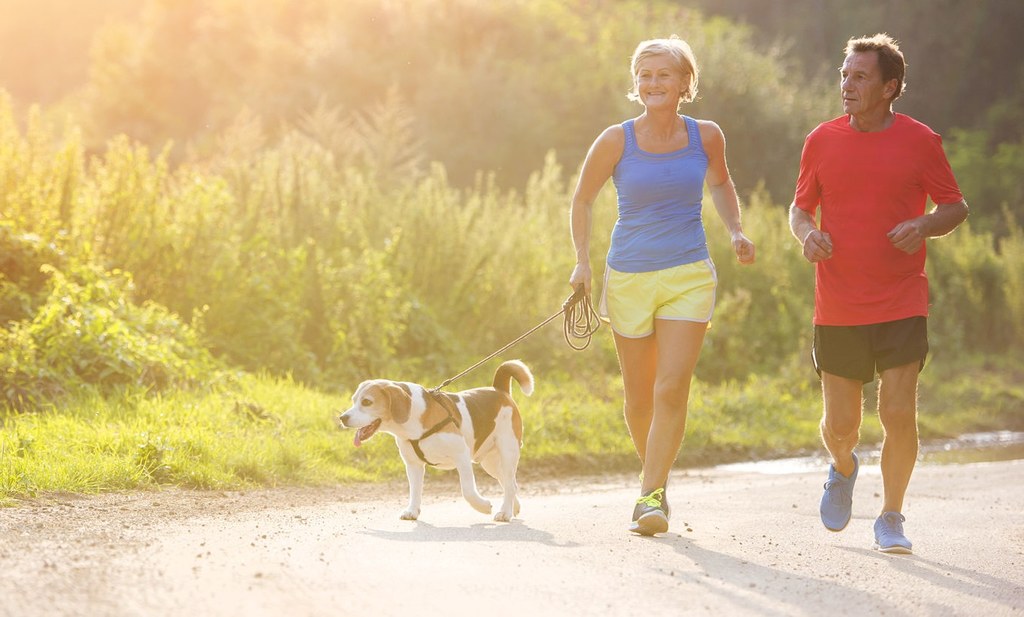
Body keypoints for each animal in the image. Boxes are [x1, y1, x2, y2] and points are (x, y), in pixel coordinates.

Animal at [342, 360, 540, 523]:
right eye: (353, 400)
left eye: (367, 402)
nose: (342, 418)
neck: (415, 418)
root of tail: (499, 390)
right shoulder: (413, 465)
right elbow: (415, 490)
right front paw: (412, 511)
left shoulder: (461, 456)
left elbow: (468, 490)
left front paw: (483, 506)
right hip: (490, 462)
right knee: (510, 484)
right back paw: (513, 508)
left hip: (508, 452)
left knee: (509, 483)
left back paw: (505, 512)